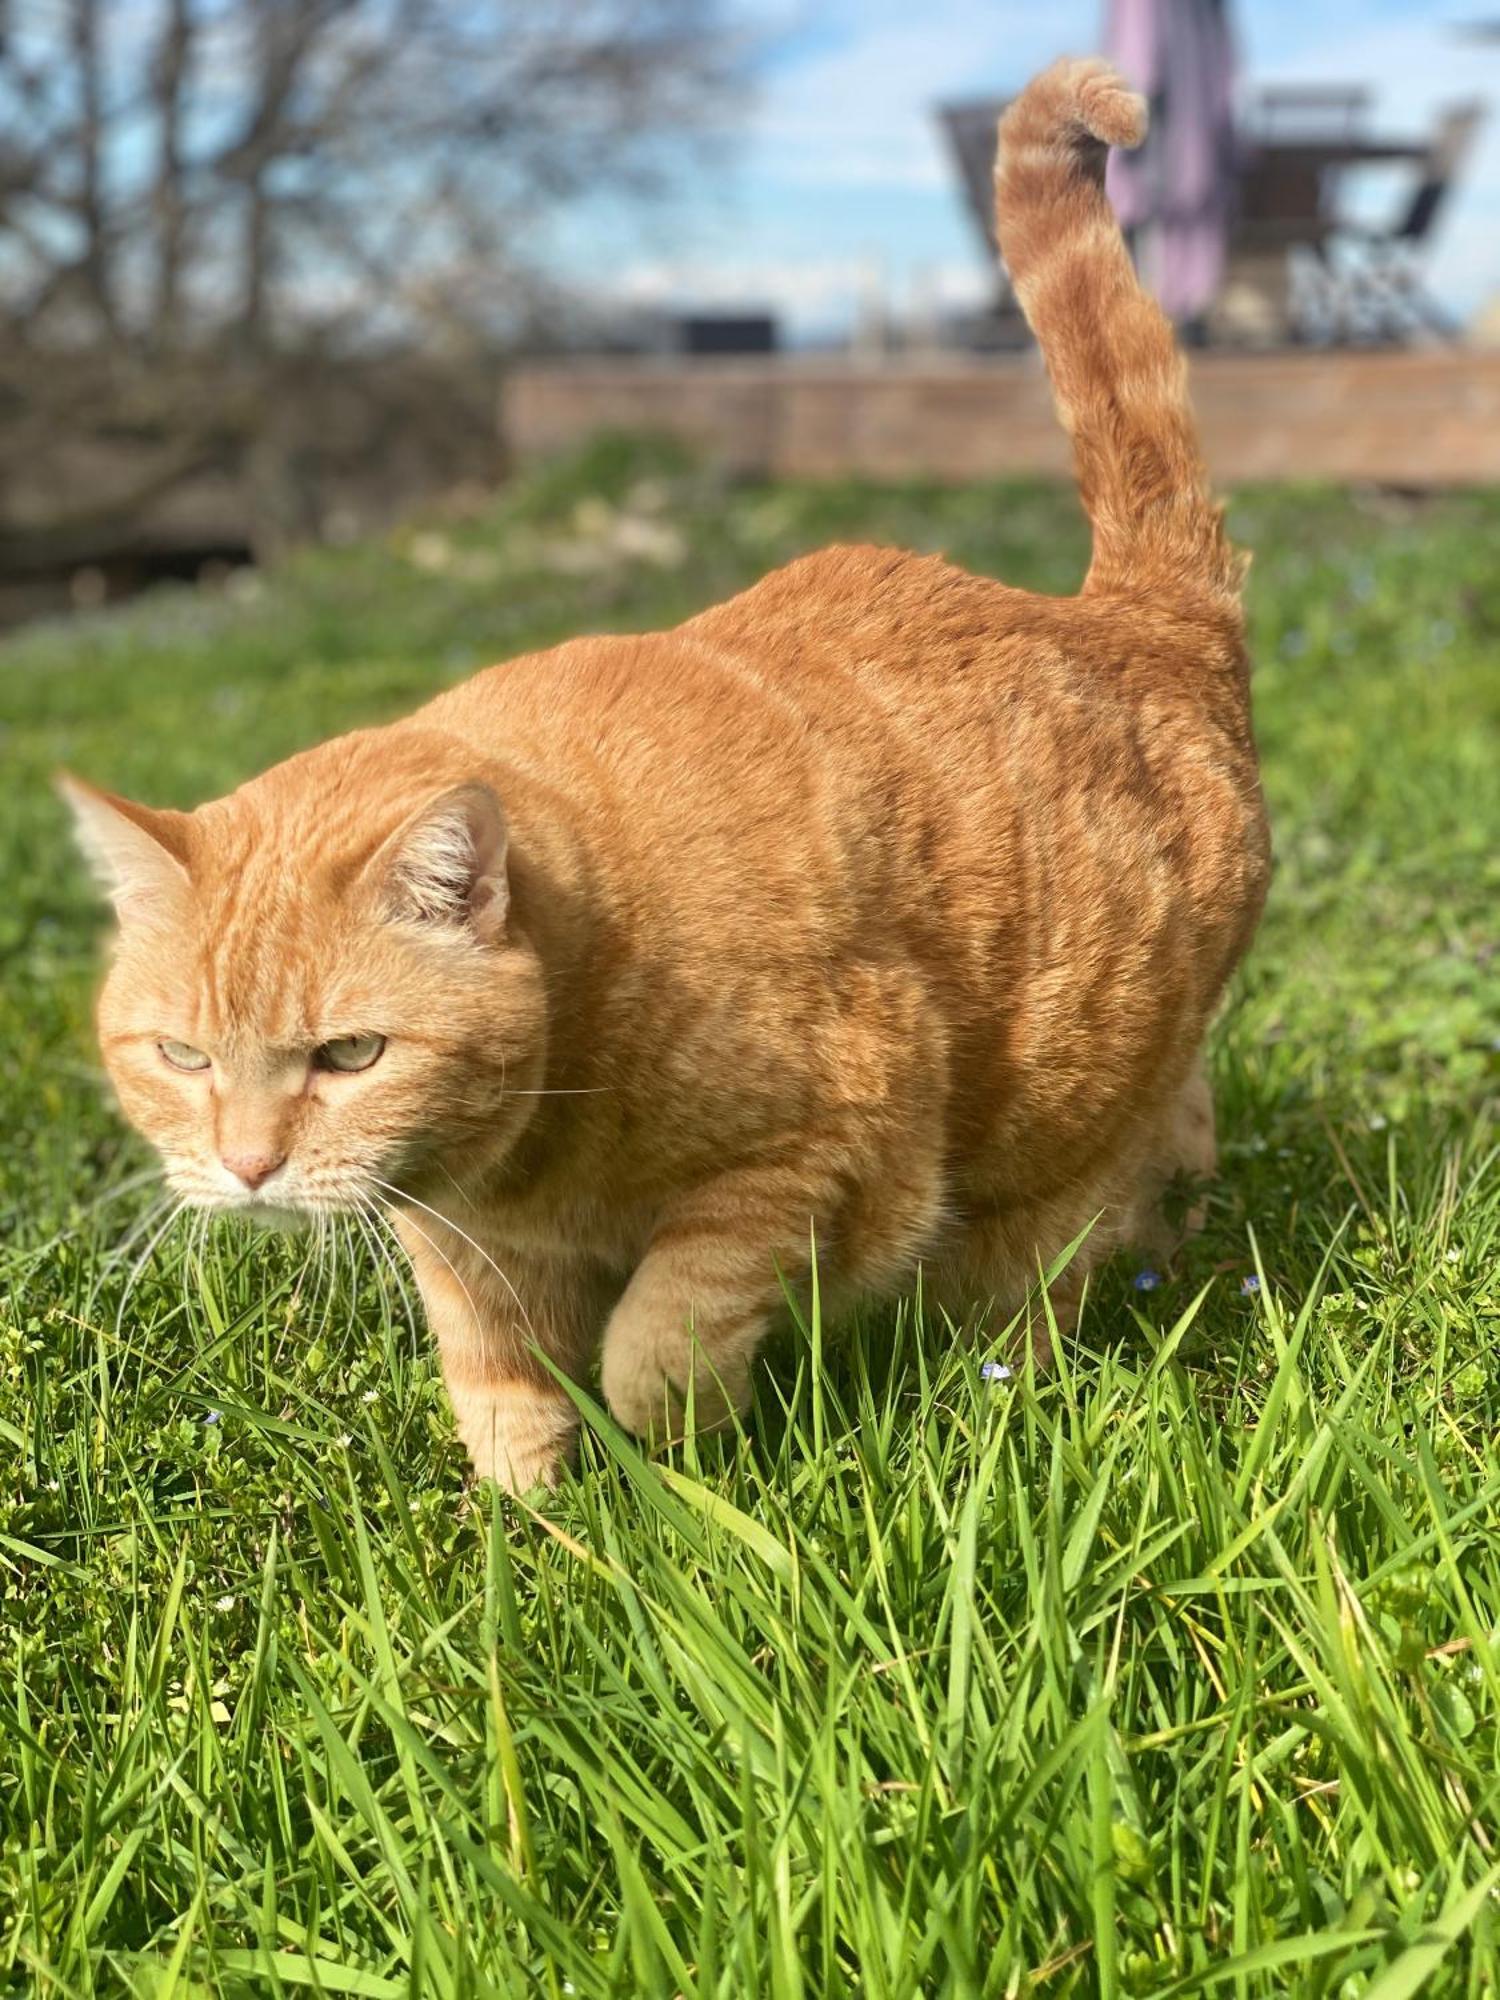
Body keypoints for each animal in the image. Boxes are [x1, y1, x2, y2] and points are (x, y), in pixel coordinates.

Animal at [64, 62, 1272, 1496]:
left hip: (1052, 1121)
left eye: (350, 1053)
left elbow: (669, 1323)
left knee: (1032, 1282)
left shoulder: (831, 1140)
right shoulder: (465, 1243)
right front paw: (534, 1514)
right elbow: (496, 1376)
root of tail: (1138, 612)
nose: (248, 1168)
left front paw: (679, 1451)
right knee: (1178, 1131)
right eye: (181, 1053)